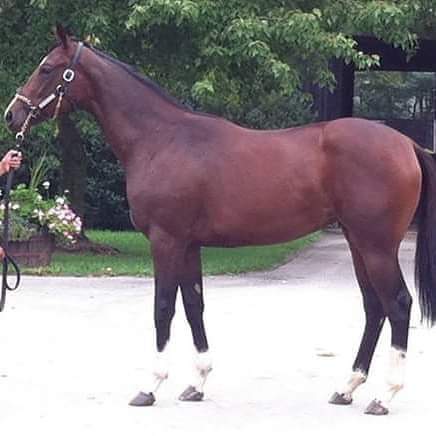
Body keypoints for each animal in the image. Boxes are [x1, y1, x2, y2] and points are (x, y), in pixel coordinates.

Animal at [5, 24, 436, 416]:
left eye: (47, 68)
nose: (12, 115)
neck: (160, 138)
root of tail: (405, 144)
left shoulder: (165, 240)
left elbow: (164, 307)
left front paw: (150, 387)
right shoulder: (188, 244)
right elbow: (194, 305)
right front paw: (196, 384)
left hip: (376, 245)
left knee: (398, 304)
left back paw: (384, 396)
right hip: (356, 241)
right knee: (374, 307)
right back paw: (347, 388)